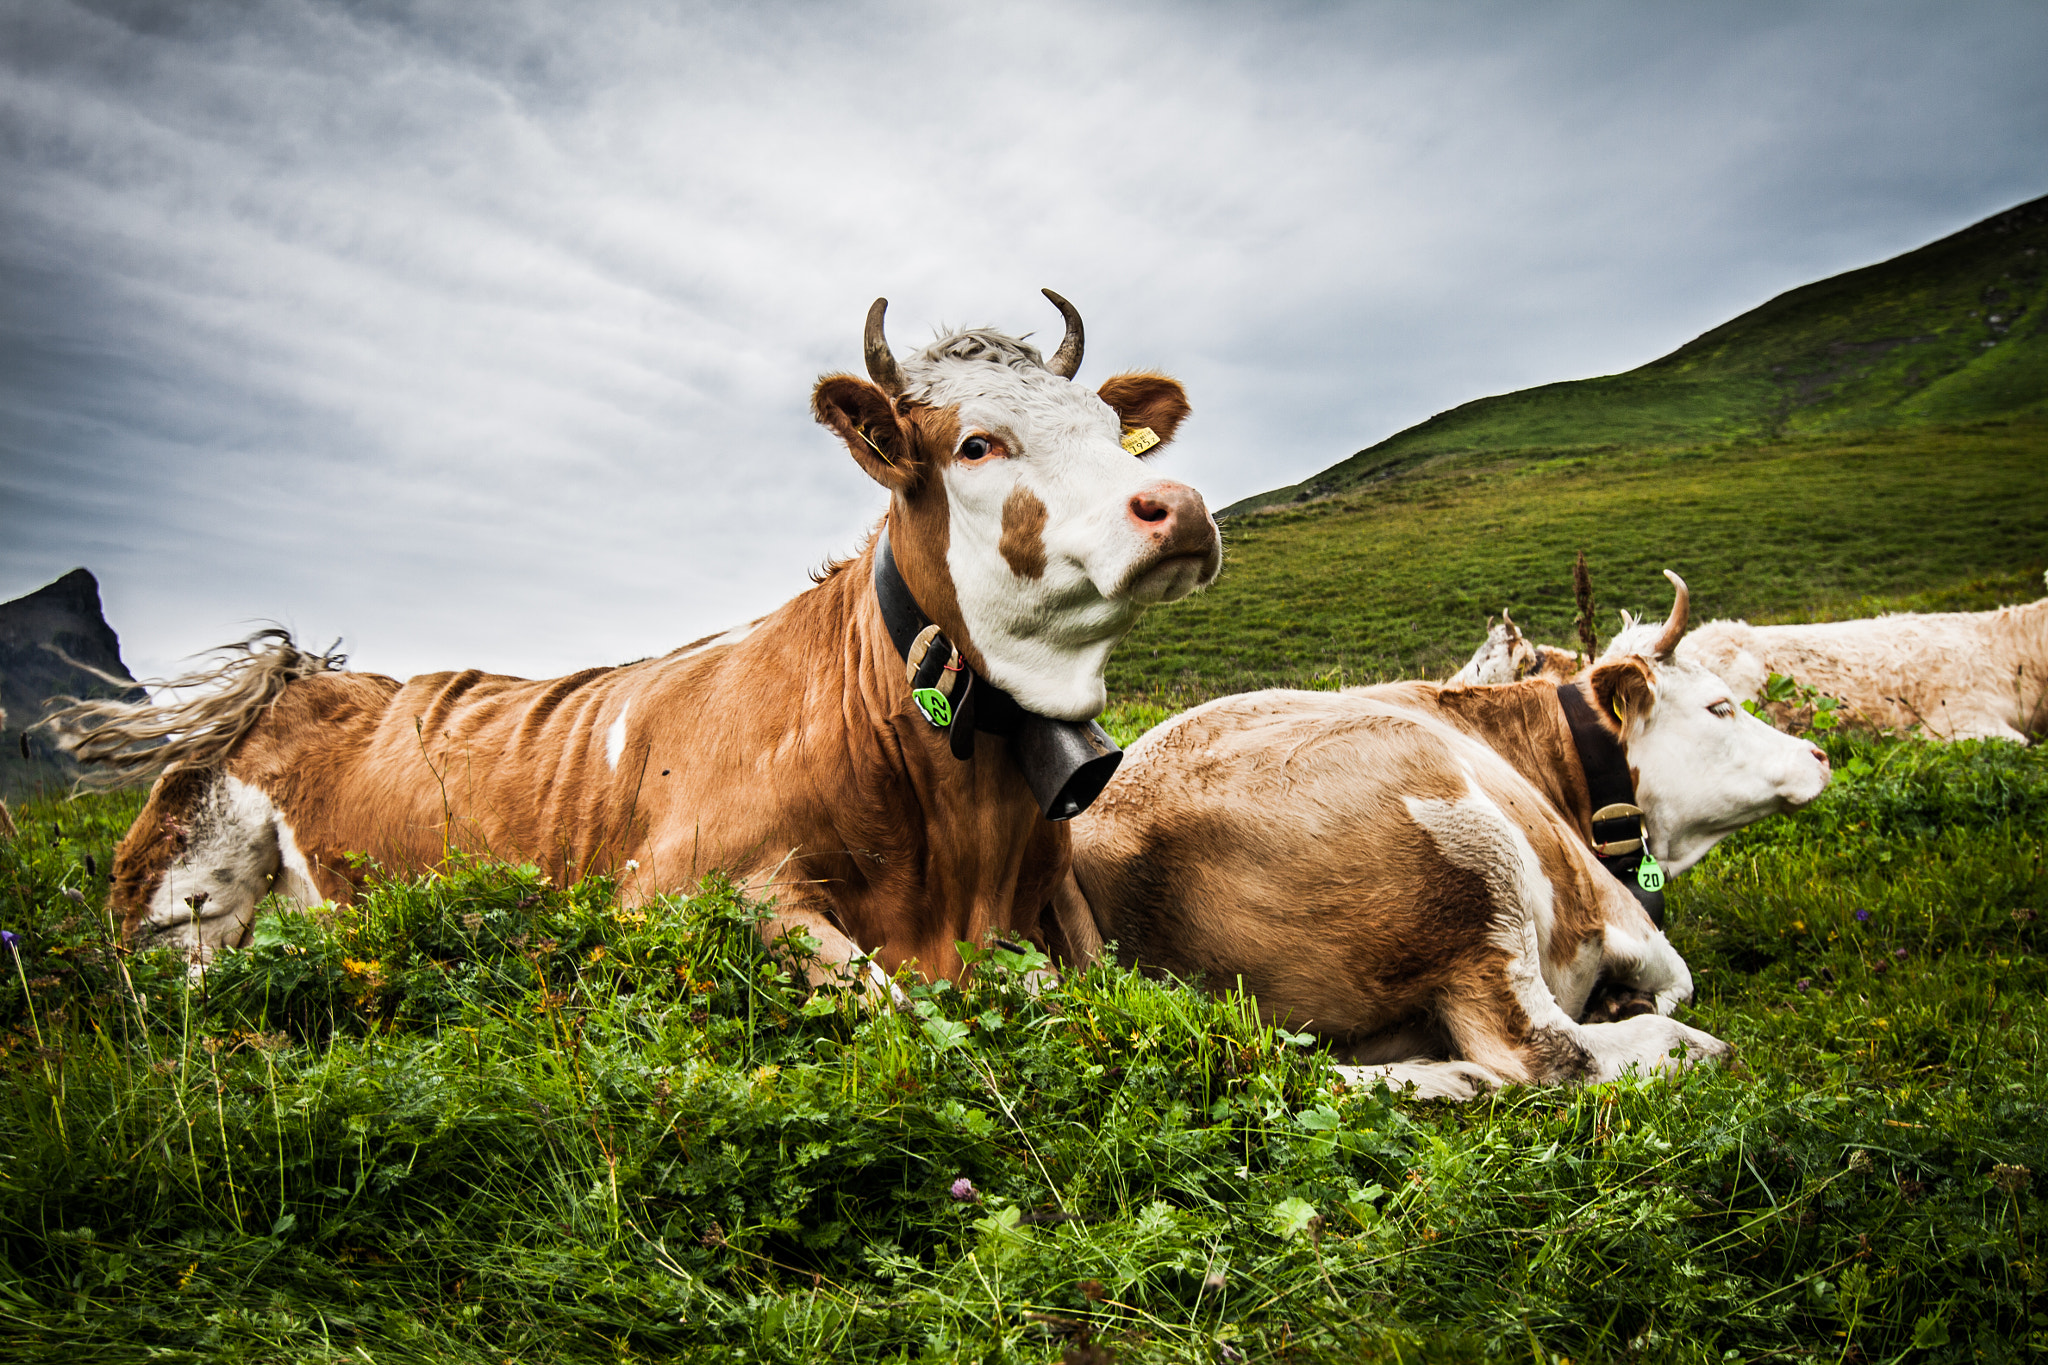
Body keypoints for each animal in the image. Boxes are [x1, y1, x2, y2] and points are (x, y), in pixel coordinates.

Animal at [57, 293, 1222, 987]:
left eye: (1108, 433)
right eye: (976, 444)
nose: (1179, 505)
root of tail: (300, 675)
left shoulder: (1058, 898)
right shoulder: (674, 889)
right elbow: (887, 1000)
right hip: (179, 900)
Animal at [1054, 572, 1832, 1099]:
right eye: (1720, 706)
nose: (1819, 754)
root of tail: (1097, 839)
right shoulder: (1614, 909)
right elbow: (1677, 979)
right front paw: (1632, 1002)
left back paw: (1447, 1077)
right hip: (1478, 869)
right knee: (1545, 1052)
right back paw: (1686, 1047)